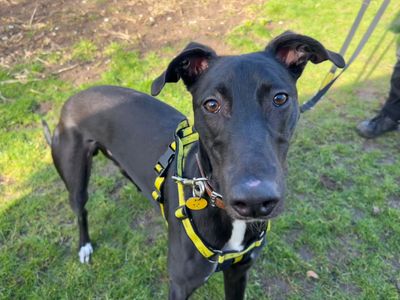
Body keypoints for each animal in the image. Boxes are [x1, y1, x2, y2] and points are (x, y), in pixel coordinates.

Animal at [47, 31, 344, 298]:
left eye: (280, 98)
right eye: (211, 104)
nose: (255, 202)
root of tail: (72, 99)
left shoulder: (239, 272)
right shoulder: (180, 285)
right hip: (75, 178)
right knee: (81, 209)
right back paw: (84, 246)